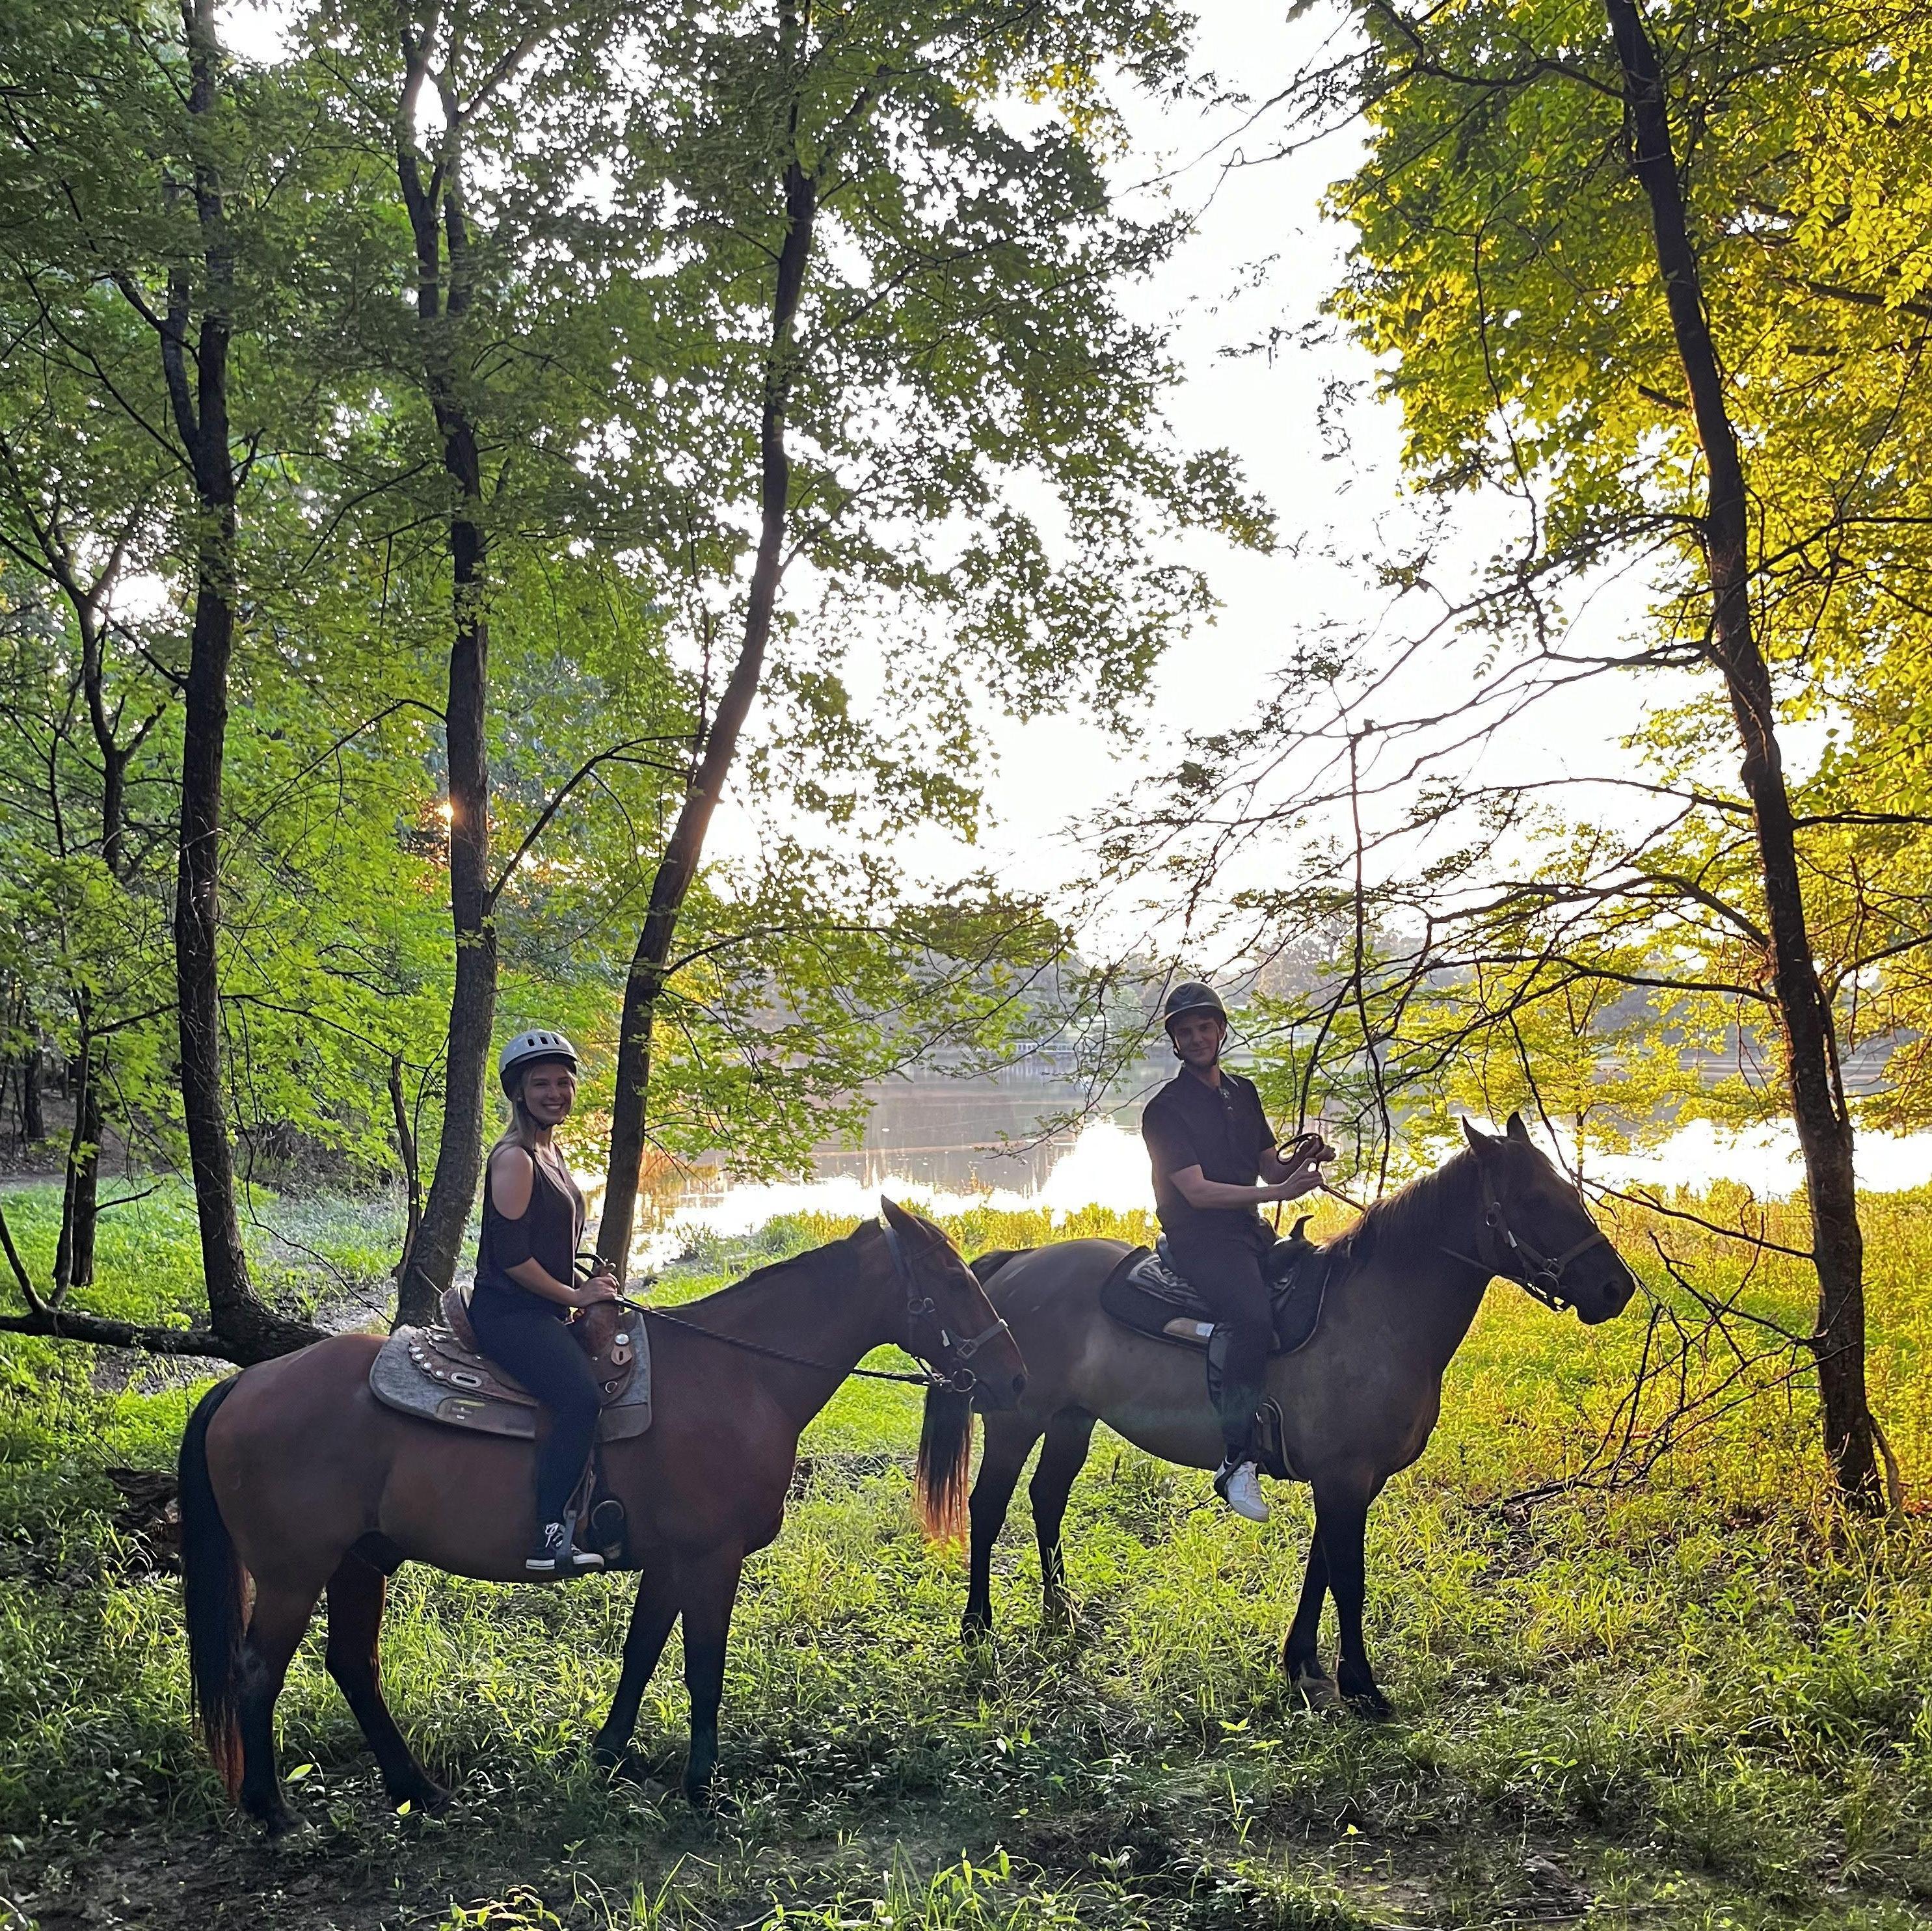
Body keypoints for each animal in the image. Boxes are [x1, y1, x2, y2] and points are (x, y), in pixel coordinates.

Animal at [180, 1197, 1028, 1830]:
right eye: (954, 1278)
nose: (1015, 1377)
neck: (738, 1372)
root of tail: (242, 1384)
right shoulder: (711, 1557)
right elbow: (702, 1668)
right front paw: (702, 1787)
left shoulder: (673, 1558)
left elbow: (642, 1650)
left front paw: (612, 1753)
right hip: (293, 1573)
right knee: (258, 1670)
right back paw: (273, 1811)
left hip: (361, 1558)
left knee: (353, 1663)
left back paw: (418, 1787)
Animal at [915, 1120, 1630, 1722]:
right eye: (1534, 1198)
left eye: (1570, 1188)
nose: (1615, 1288)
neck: (1377, 1313)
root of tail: (1017, 1264)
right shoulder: (1344, 1478)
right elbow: (1349, 1578)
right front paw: (1361, 1685)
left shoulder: (1349, 1480)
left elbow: (1322, 1567)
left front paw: (1302, 1662)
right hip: (1018, 1421)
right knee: (988, 1505)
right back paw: (977, 1624)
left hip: (1072, 1419)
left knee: (1047, 1498)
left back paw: (1060, 1607)